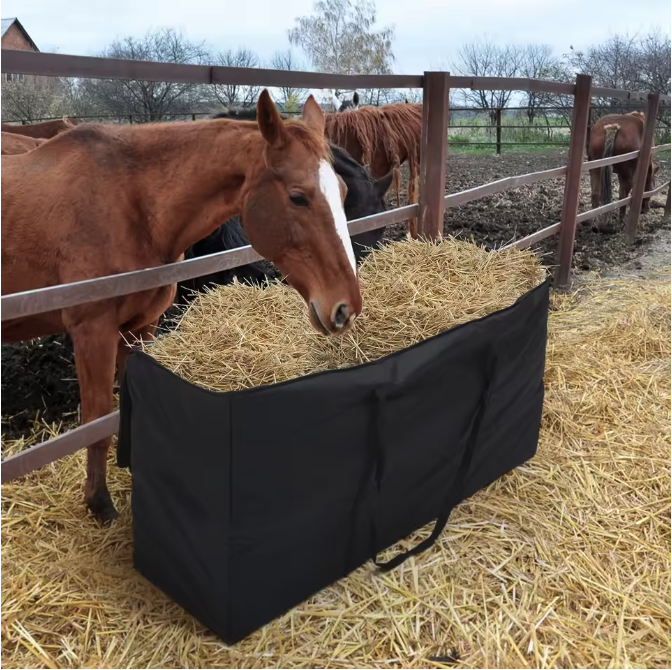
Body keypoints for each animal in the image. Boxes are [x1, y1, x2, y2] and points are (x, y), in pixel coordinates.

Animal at [2, 91, 361, 523]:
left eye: (343, 192)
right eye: (297, 197)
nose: (346, 307)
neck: (130, 204)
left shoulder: (139, 327)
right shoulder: (92, 332)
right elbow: (97, 420)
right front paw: (100, 504)